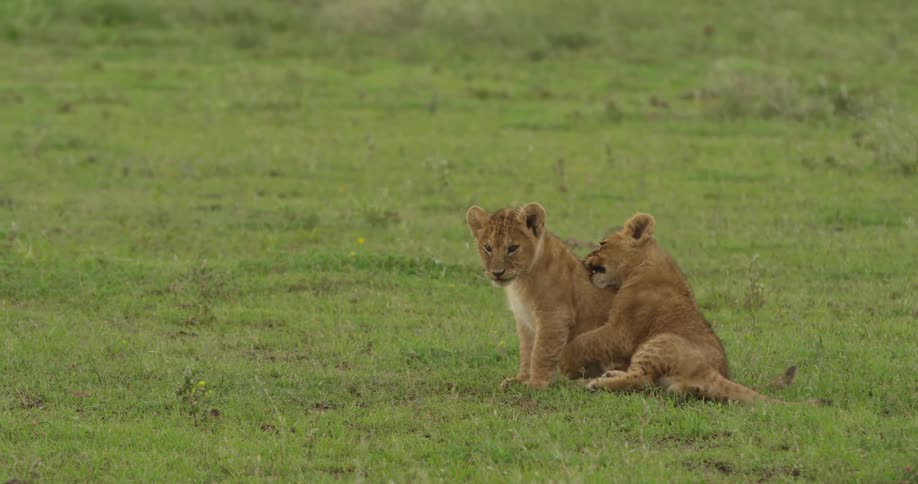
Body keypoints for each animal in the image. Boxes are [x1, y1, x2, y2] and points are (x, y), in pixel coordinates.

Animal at [466, 203, 624, 389]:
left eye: (512, 248)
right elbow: (526, 351)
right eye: (488, 248)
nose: (497, 273)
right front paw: (519, 380)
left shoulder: (554, 316)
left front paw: (536, 384)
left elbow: (541, 351)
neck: (521, 282)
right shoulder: (523, 319)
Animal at [560, 213, 807, 403]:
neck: (642, 264)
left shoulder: (622, 332)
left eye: (602, 243)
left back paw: (594, 383)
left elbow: (582, 342)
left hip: (660, 341)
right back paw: (607, 375)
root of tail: (712, 372)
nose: (585, 258)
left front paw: (564, 361)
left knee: (641, 380)